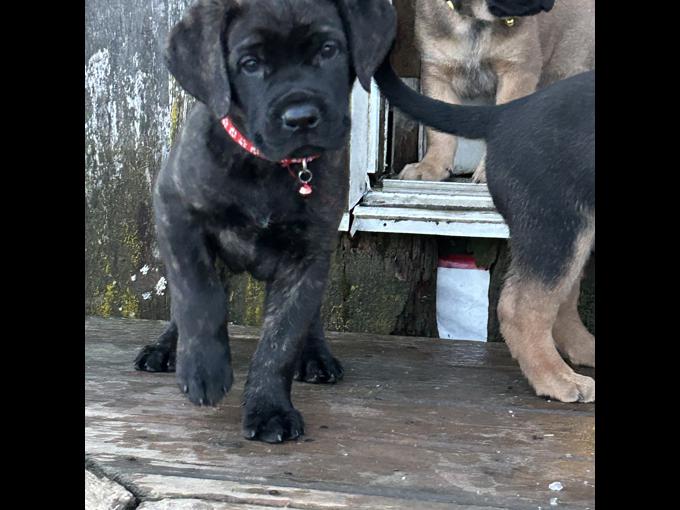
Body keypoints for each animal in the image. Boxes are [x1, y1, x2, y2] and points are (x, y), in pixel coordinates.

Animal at [133, 0, 396, 442]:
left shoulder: (308, 255)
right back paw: (166, 348)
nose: (302, 118)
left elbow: (282, 339)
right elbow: (197, 296)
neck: (267, 167)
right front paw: (203, 369)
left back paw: (317, 356)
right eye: (250, 64)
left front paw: (270, 408)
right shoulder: (175, 209)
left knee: (311, 320)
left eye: (328, 50)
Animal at [372, 58, 596, 402]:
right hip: (557, 227)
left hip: (571, 229)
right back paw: (556, 379)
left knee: (560, 299)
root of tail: (507, 113)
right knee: (522, 306)